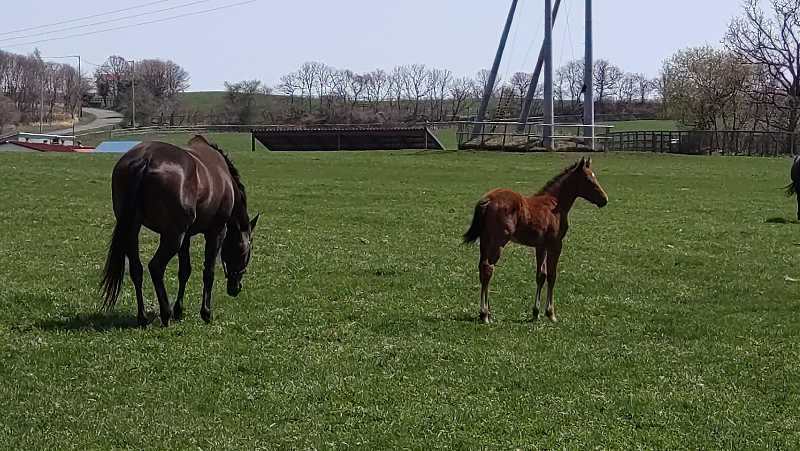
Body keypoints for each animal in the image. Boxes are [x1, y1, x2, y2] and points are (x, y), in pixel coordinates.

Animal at [98, 136, 258, 326]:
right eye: (246, 250)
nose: (235, 288)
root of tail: (144, 160)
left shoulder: (186, 236)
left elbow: (184, 271)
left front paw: (179, 309)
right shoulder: (216, 232)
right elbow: (208, 272)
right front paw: (205, 312)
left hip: (133, 230)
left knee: (137, 269)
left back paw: (143, 317)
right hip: (173, 237)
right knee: (155, 267)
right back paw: (165, 313)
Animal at [462, 157, 608, 324]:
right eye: (588, 180)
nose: (604, 200)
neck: (554, 203)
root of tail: (487, 199)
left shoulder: (540, 246)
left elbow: (541, 275)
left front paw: (536, 312)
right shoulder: (555, 245)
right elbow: (552, 275)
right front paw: (551, 313)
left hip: (485, 240)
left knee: (482, 268)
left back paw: (487, 312)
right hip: (498, 242)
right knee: (488, 268)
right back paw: (485, 314)